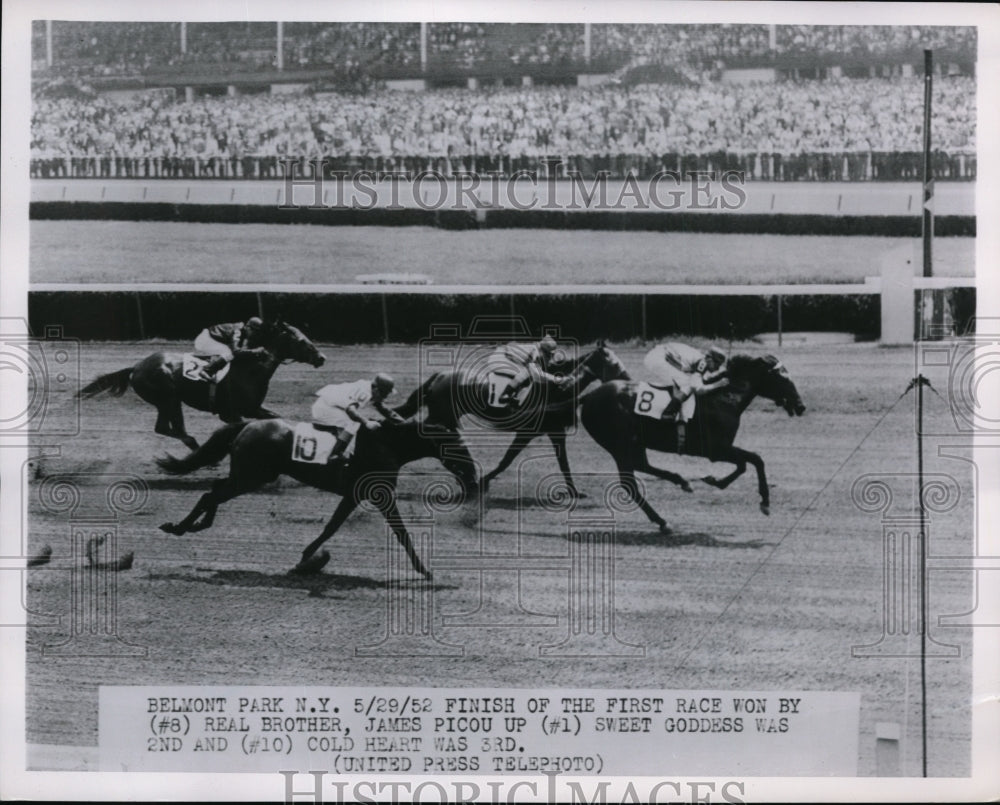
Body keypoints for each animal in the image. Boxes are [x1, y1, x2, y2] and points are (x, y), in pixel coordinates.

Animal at [80, 318, 328, 450]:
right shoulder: (232, 412)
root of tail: (137, 367)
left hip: (169, 401)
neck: (251, 368)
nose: (321, 357)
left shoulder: (254, 408)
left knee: (168, 427)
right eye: (301, 340)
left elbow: (276, 417)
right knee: (168, 428)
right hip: (168, 398)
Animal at [157, 414, 480, 576]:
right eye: (458, 446)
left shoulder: (354, 495)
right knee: (211, 495)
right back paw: (179, 527)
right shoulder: (381, 495)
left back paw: (195, 525)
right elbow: (402, 533)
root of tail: (249, 424)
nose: (473, 476)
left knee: (213, 491)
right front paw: (424, 570)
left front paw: (308, 557)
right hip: (252, 476)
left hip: (249, 475)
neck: (389, 443)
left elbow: (331, 527)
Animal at [394, 344, 628, 496]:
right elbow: (507, 460)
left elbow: (564, 463)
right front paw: (484, 481)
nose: (627, 380)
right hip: (442, 416)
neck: (558, 390)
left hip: (447, 418)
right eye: (614, 363)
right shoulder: (526, 432)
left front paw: (575, 492)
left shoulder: (555, 431)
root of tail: (440, 375)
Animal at [580, 350, 804, 528]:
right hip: (619, 445)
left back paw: (681, 482)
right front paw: (761, 500)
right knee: (630, 485)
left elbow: (750, 462)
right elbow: (750, 461)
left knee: (642, 465)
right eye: (782, 378)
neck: (725, 398)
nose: (801, 406)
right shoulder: (716, 449)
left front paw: (718, 482)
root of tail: (588, 397)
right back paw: (663, 521)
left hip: (634, 443)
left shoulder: (723, 448)